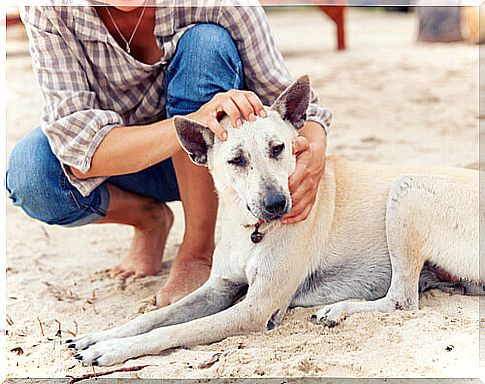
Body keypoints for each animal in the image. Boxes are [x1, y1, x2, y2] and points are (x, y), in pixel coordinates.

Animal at [67, 75, 480, 366]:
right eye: (236, 160)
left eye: (278, 148)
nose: (277, 204)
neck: (249, 229)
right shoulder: (217, 289)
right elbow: (158, 316)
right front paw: (99, 336)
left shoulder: (255, 307)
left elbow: (176, 330)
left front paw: (112, 349)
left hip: (405, 189)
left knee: (401, 302)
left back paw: (339, 310)